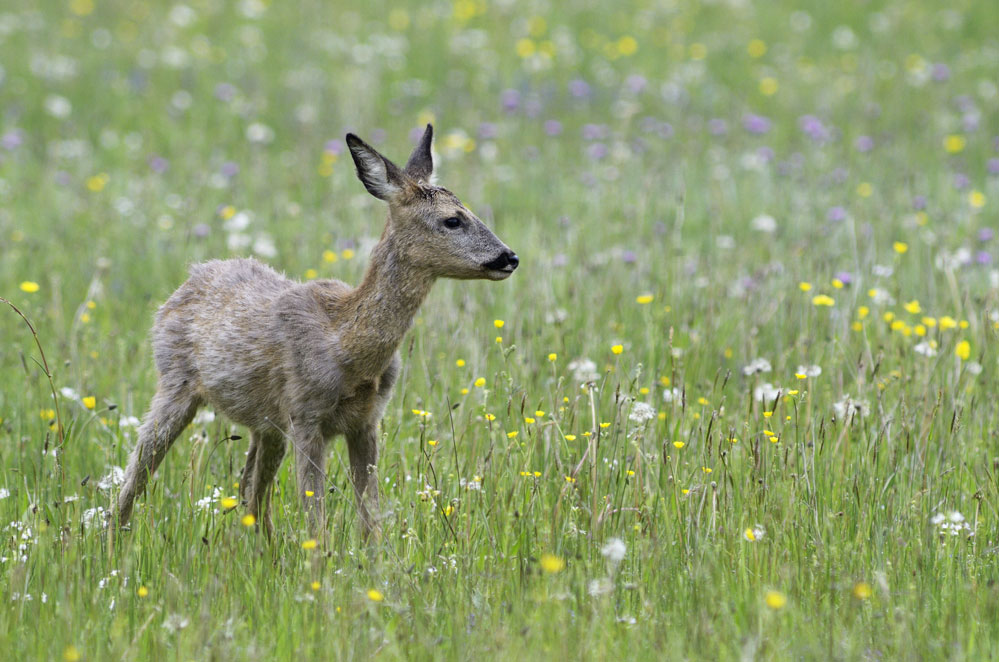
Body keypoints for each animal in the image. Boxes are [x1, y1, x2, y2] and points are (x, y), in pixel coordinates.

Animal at [117, 124, 520, 540]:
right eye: (452, 220)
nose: (510, 257)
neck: (347, 345)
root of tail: (189, 279)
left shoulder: (366, 421)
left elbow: (371, 519)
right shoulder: (306, 416)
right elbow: (316, 519)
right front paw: (321, 559)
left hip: (266, 424)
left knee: (251, 494)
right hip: (175, 383)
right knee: (134, 476)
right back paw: (113, 538)